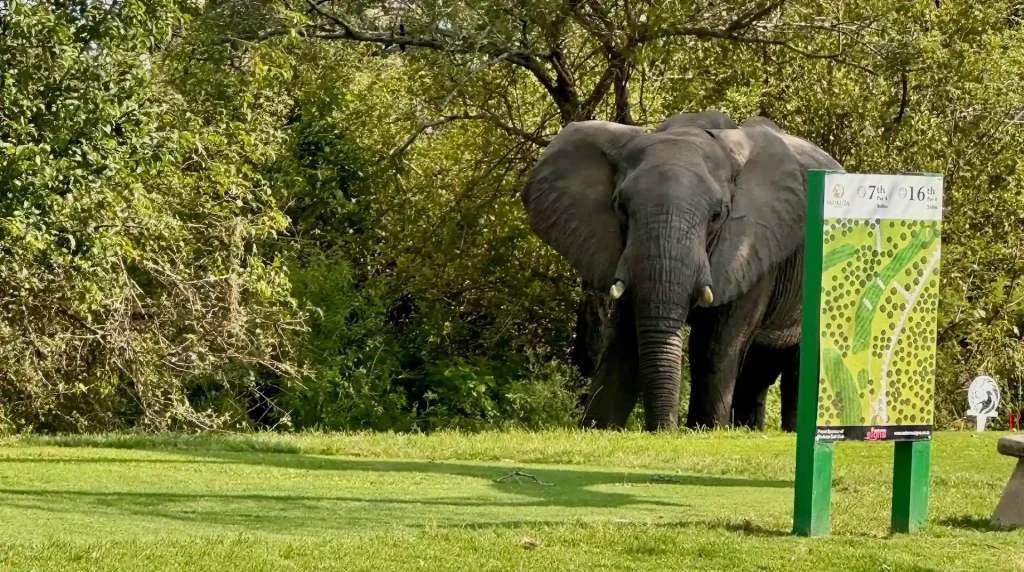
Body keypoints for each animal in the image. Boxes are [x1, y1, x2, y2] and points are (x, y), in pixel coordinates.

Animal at [521, 110, 841, 431]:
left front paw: (706, 430)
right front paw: (599, 428)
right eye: (620, 208)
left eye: (717, 216)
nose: (663, 430)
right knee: (757, 372)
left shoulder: (753, 246)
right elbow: (625, 342)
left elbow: (714, 345)